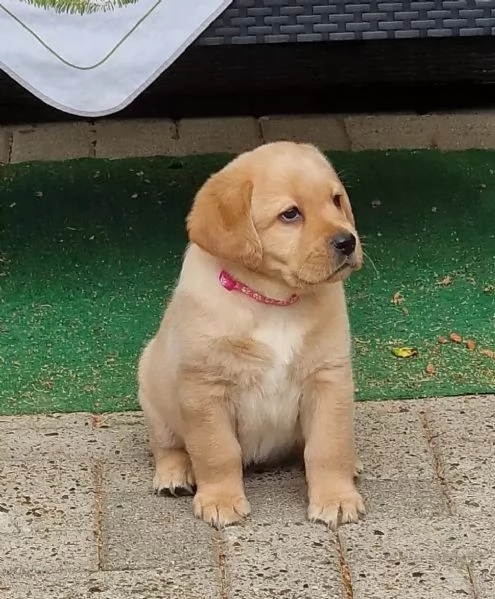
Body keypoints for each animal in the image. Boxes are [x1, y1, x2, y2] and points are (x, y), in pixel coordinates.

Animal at [138, 142, 366, 528]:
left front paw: (336, 497)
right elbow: (217, 451)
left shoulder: (328, 379)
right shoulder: (205, 389)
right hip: (152, 391)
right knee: (167, 446)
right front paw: (221, 500)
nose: (347, 241)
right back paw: (174, 474)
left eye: (336, 200)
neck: (274, 301)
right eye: (290, 214)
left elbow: (327, 446)